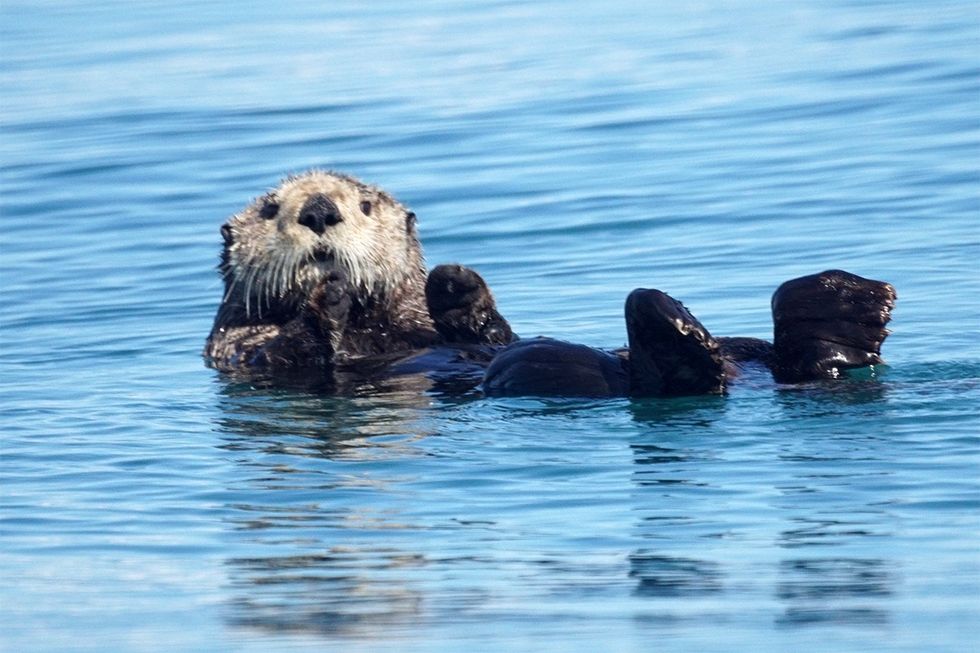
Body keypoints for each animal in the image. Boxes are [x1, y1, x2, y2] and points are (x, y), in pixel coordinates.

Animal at [205, 171, 896, 397]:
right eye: (271, 209)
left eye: (366, 205)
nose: (320, 211)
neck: (379, 323)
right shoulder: (236, 351)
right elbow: (283, 351)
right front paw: (326, 300)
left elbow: (484, 326)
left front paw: (454, 283)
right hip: (548, 370)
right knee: (675, 375)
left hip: (750, 350)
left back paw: (844, 304)